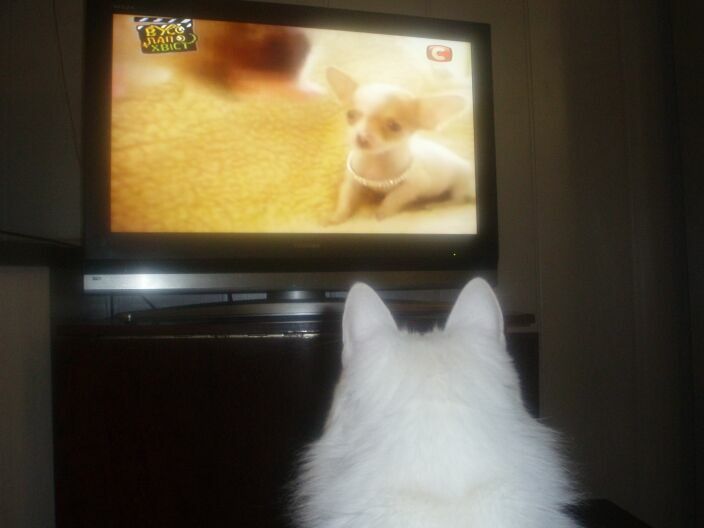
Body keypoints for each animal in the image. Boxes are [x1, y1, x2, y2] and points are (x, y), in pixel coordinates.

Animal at [326, 67, 475, 224]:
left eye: (394, 126)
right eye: (350, 115)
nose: (362, 137)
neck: (375, 162)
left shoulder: (415, 186)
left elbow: (393, 197)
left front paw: (382, 213)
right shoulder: (352, 182)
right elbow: (346, 198)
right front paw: (337, 216)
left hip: (460, 185)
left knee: (458, 200)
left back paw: (437, 205)